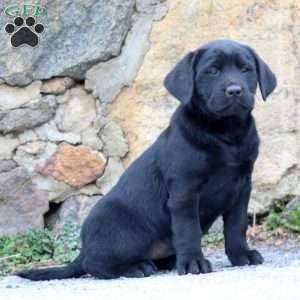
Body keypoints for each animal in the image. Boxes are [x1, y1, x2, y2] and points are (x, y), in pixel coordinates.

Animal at [18, 39, 276, 282]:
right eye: (211, 71)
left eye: (246, 69)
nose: (235, 90)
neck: (226, 133)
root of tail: (84, 249)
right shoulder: (184, 191)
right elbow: (188, 229)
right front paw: (193, 262)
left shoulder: (242, 187)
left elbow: (236, 225)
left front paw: (241, 255)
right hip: (122, 231)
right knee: (95, 264)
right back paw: (136, 268)